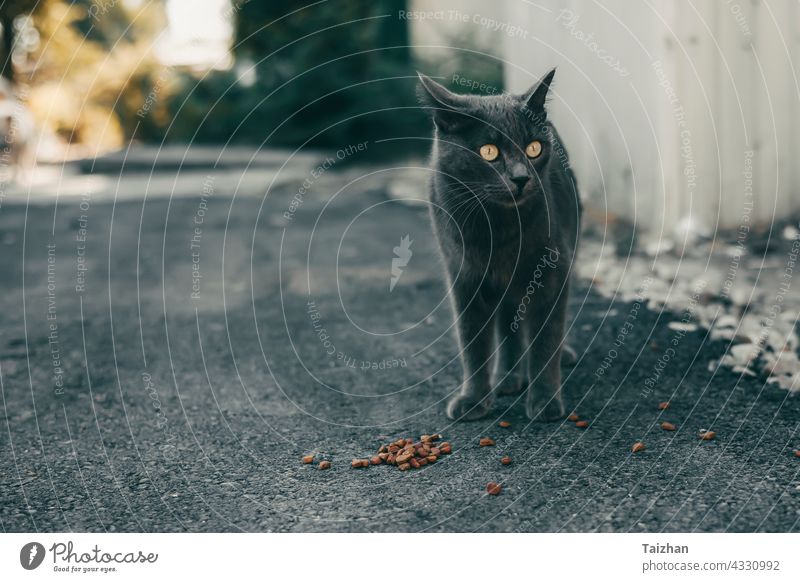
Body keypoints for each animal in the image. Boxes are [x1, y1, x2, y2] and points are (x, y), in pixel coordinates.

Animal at [418, 70, 580, 422]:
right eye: (489, 152)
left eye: (534, 148)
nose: (520, 178)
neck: (498, 228)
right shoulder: (464, 277)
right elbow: (472, 342)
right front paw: (473, 399)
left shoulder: (552, 269)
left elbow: (546, 336)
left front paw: (545, 401)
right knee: (508, 324)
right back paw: (508, 378)